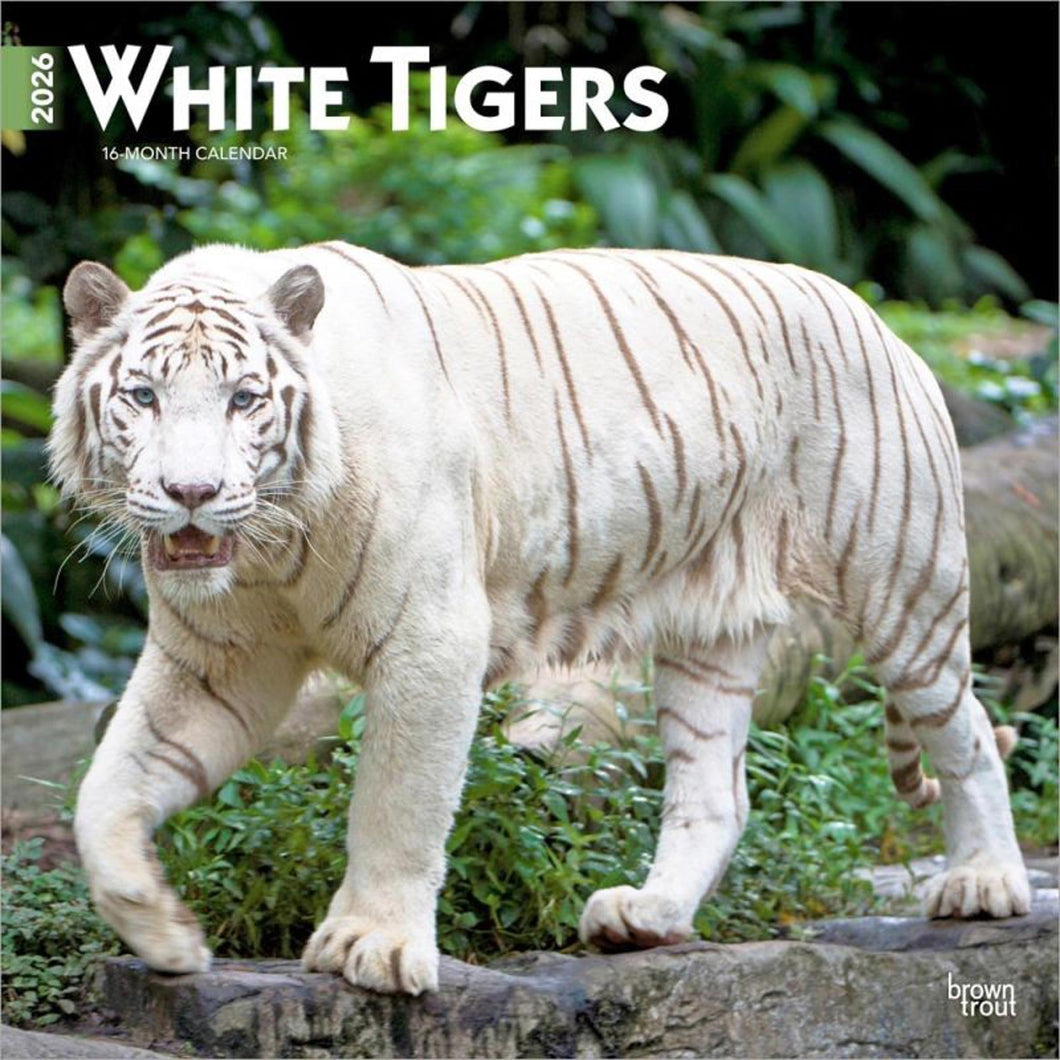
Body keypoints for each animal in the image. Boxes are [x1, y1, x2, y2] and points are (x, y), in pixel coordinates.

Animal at [50, 242, 1031, 996]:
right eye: (142, 396)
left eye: (244, 400)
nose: (191, 493)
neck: (270, 548)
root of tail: (875, 314)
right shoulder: (218, 662)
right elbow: (104, 792)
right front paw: (166, 934)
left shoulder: (432, 640)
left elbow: (396, 804)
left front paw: (373, 946)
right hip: (707, 634)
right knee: (717, 793)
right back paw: (647, 916)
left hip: (903, 580)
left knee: (970, 732)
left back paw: (985, 884)